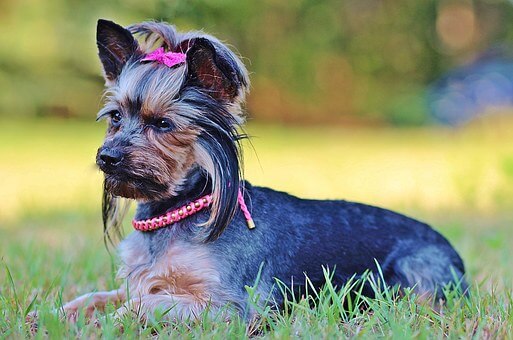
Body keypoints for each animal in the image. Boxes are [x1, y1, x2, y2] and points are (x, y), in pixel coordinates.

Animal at [61, 19, 468, 324]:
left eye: (162, 123)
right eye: (115, 117)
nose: (107, 157)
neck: (177, 210)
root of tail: (454, 254)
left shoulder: (231, 306)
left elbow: (143, 305)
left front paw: (107, 323)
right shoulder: (141, 281)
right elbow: (103, 295)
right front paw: (66, 312)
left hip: (412, 275)